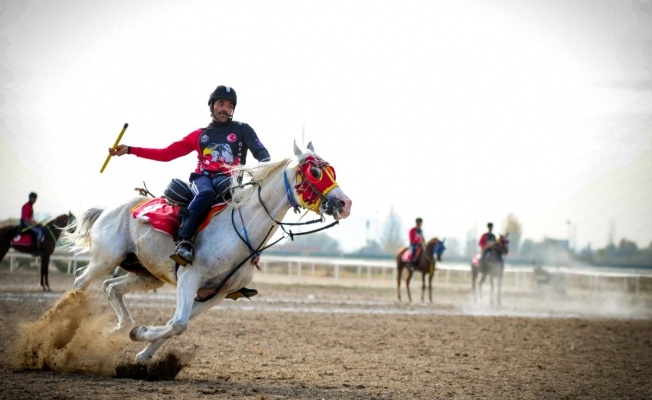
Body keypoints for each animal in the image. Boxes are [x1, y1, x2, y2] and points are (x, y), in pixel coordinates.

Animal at [62, 142, 352, 364]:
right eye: (314, 171)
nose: (345, 203)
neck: (239, 232)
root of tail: (109, 209)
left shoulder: (217, 294)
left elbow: (177, 324)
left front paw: (143, 351)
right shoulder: (190, 278)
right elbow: (178, 323)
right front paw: (140, 333)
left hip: (146, 274)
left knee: (111, 287)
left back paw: (120, 327)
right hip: (106, 259)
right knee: (81, 281)